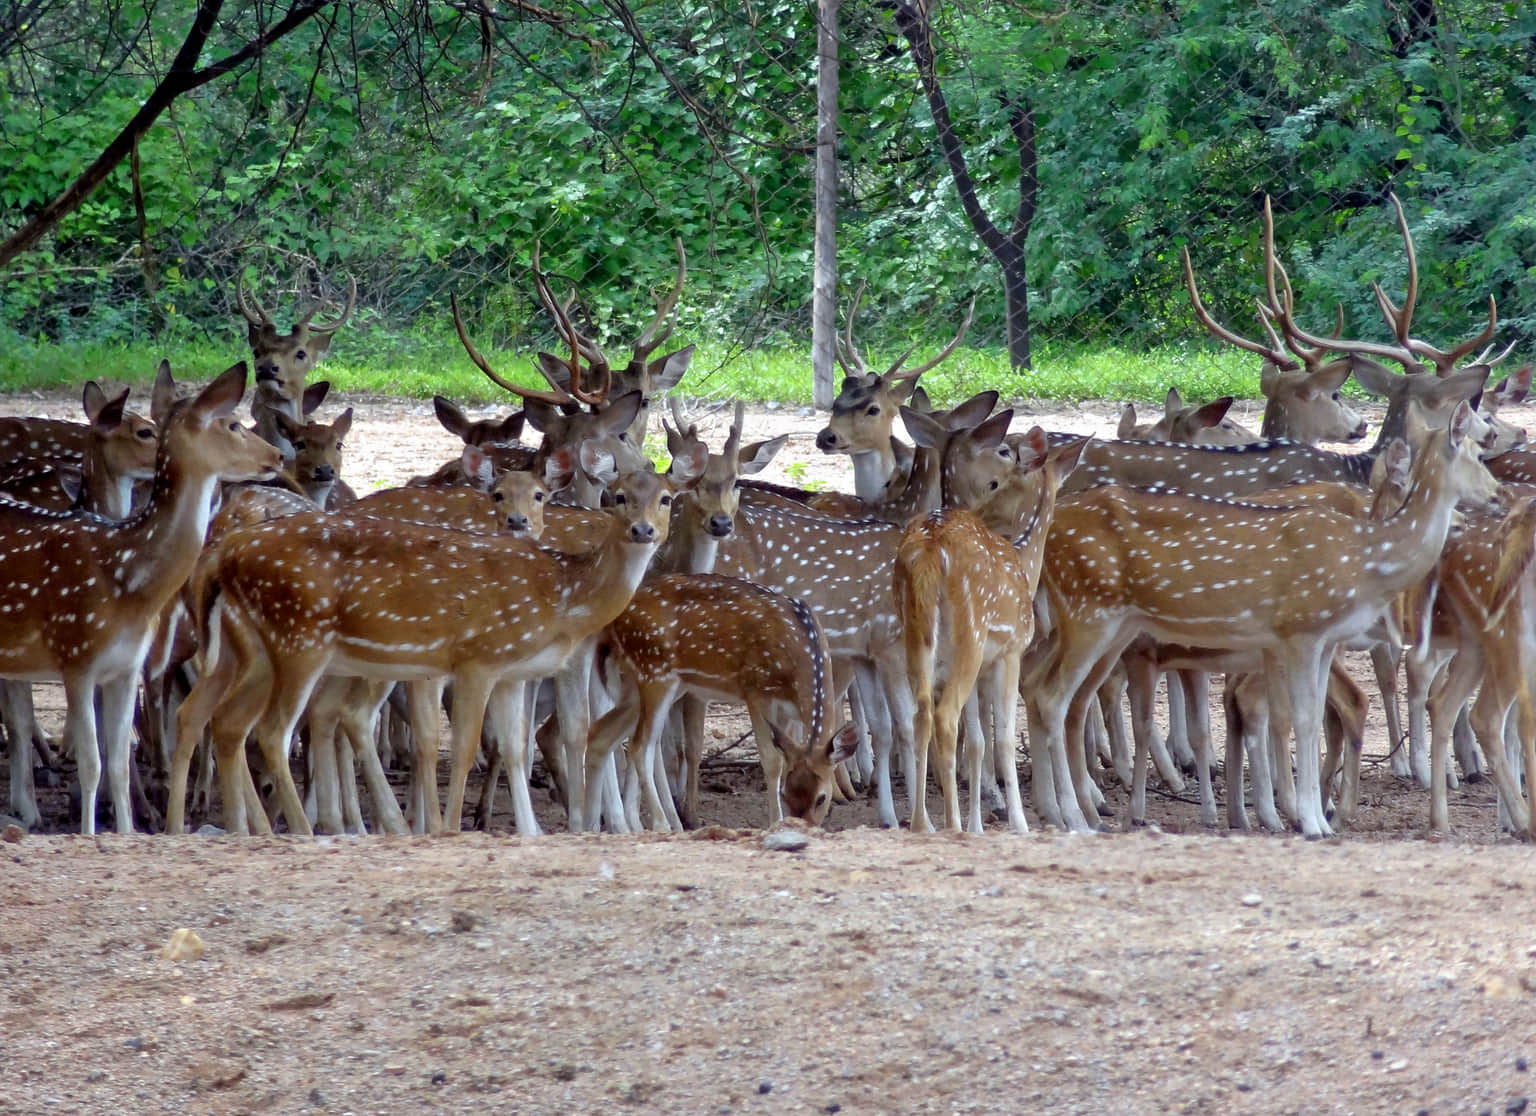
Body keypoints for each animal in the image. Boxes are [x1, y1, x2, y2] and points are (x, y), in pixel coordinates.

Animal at [0, 363, 280, 834]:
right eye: (233, 424)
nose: (277, 456)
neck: (127, 581)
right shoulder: (75, 657)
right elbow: (93, 763)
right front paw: (90, 830)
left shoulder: (127, 667)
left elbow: (116, 760)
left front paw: (129, 829)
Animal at [895, 427, 1089, 834]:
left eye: (995, 483)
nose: (977, 511)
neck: (1024, 565)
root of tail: (931, 546)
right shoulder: (1011, 650)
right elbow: (1002, 740)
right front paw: (1018, 823)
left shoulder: (983, 665)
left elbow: (978, 742)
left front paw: (978, 826)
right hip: (970, 632)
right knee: (944, 717)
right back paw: (950, 824)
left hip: (916, 634)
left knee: (921, 713)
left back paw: (923, 823)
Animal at [1026, 400, 1499, 838]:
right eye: (1479, 454)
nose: (1495, 497)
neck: (1367, 559)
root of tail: (1050, 533)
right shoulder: (1301, 630)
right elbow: (1303, 719)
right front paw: (1310, 820)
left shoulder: (1321, 640)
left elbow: (1307, 716)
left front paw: (1312, 817)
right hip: (1090, 613)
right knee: (1052, 697)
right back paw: (1076, 817)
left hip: (1113, 628)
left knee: (1055, 693)